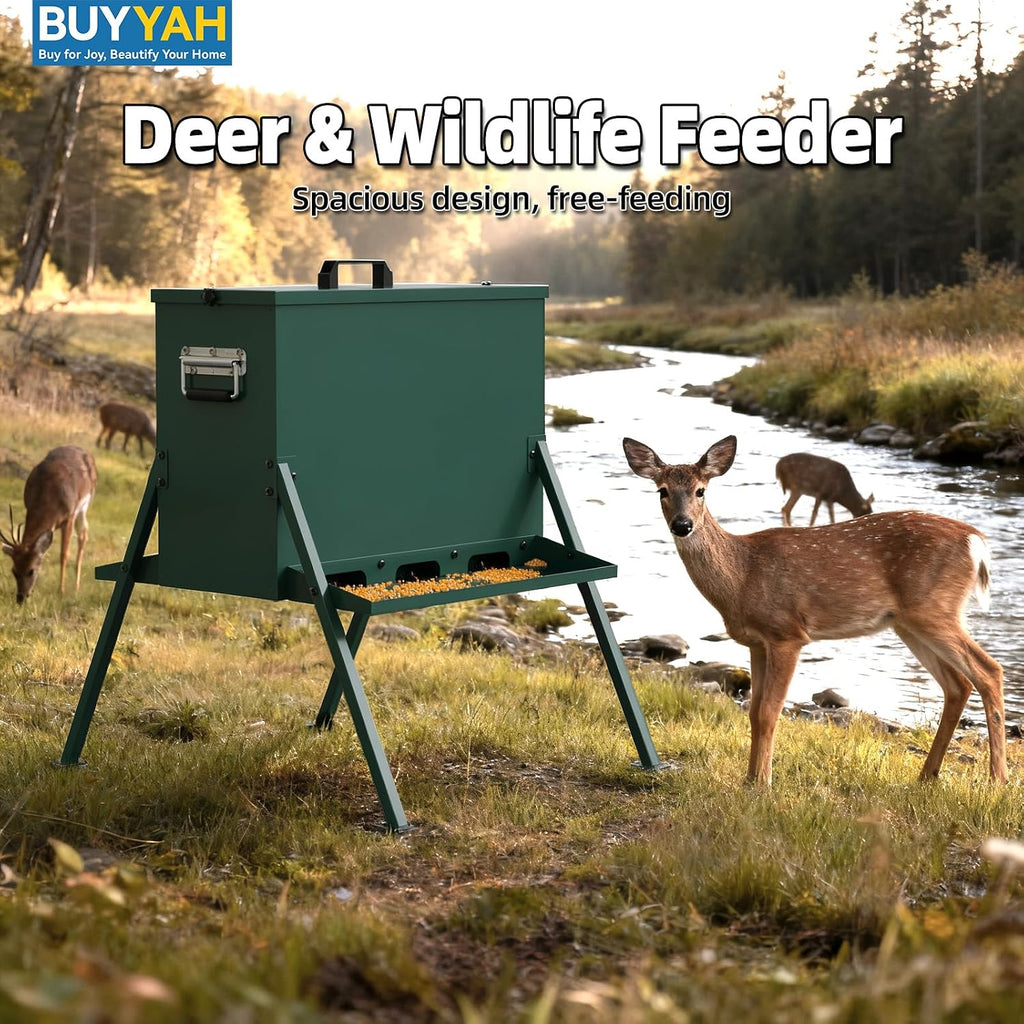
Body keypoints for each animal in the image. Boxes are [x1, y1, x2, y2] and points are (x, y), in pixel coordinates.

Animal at [0, 445, 98, 604]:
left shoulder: (69, 516)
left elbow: (64, 554)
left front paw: (61, 591)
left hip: (85, 504)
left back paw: (76, 588)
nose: (20, 598)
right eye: (14, 571)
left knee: (83, 535)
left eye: (31, 571)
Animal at [623, 434, 1006, 786]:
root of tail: (977, 542)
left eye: (701, 490)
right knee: (958, 685)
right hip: (909, 622)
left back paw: (997, 780)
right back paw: (927, 775)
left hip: (934, 610)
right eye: (662, 491)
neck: (742, 576)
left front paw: (763, 784)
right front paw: (750, 779)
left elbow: (769, 711)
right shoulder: (756, 642)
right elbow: (753, 712)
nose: (682, 525)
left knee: (989, 670)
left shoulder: (787, 632)